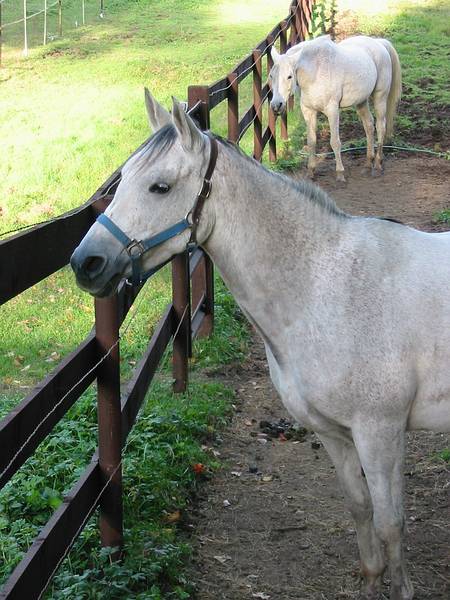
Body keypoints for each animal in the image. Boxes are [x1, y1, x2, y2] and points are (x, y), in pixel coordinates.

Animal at [71, 90, 450, 600]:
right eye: (124, 178)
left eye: (160, 187)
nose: (85, 263)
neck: (327, 286)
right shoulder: (334, 433)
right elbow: (360, 508)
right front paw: (371, 580)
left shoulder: (381, 432)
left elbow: (392, 524)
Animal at [268, 34, 402, 180]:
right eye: (271, 76)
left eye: (289, 76)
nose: (276, 105)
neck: (315, 72)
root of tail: (379, 43)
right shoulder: (308, 111)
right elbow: (311, 141)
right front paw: (311, 171)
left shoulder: (332, 111)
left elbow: (335, 142)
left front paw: (340, 173)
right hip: (361, 101)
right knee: (369, 126)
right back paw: (368, 163)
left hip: (380, 97)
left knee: (380, 127)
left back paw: (377, 164)